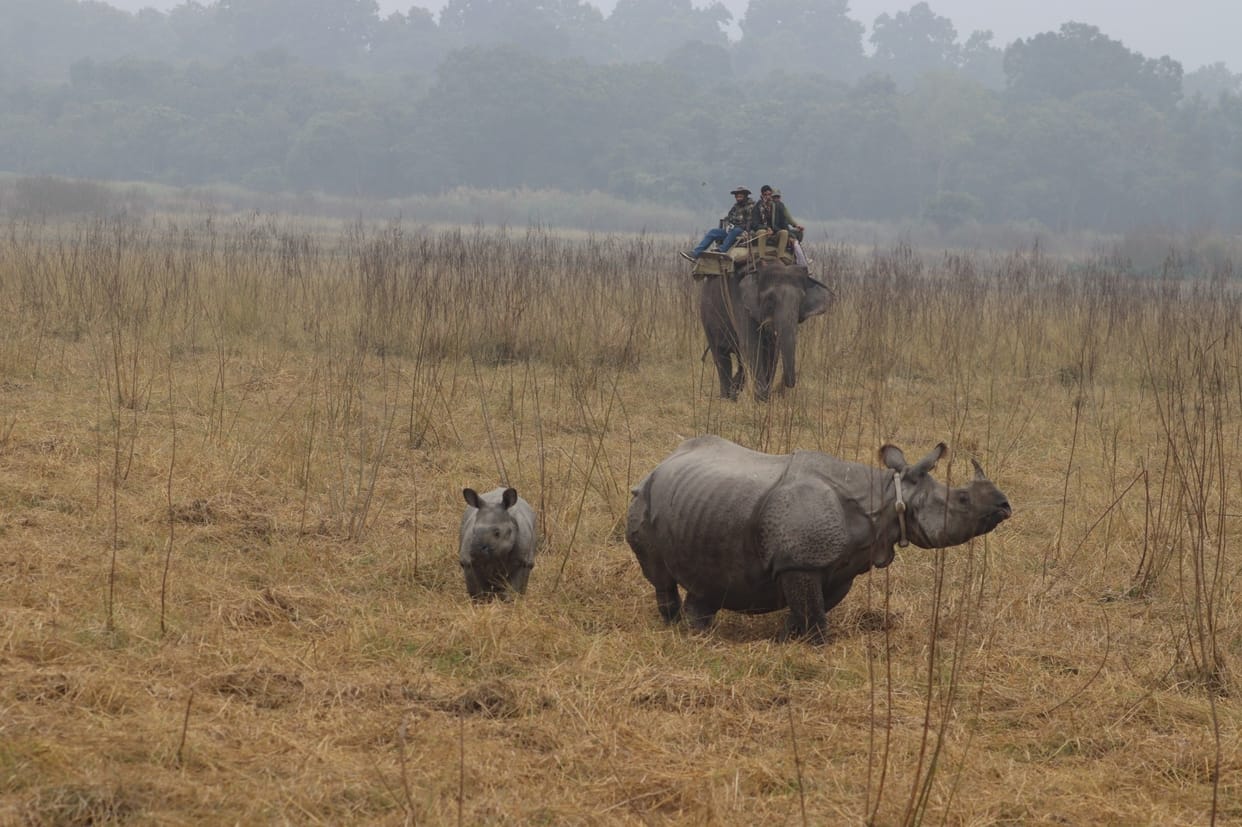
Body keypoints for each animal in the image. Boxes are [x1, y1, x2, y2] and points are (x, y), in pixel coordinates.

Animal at [625, 435, 1011, 642]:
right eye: (963, 499)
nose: (1005, 505)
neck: (889, 497)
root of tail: (661, 462)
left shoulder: (837, 565)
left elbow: (810, 607)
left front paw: (786, 639)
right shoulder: (801, 560)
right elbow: (812, 610)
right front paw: (817, 645)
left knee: (707, 581)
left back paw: (698, 632)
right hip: (643, 498)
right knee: (660, 575)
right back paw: (673, 625)